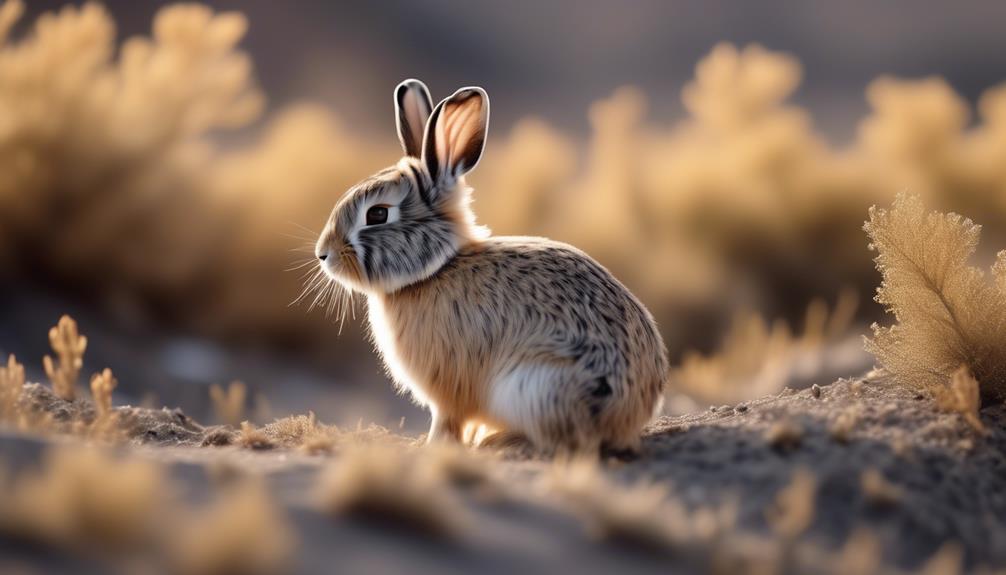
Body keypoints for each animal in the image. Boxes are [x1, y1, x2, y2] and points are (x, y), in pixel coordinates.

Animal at [315, 80, 667, 456]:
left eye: (378, 214)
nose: (323, 254)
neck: (436, 269)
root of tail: (626, 414)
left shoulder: (448, 389)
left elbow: (447, 420)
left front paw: (429, 446)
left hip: (531, 386)